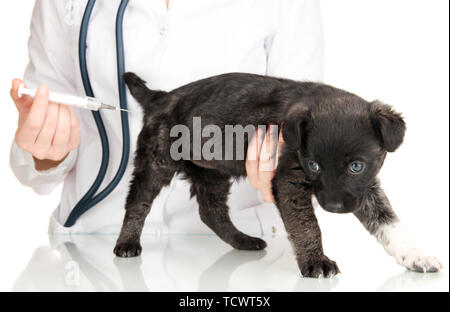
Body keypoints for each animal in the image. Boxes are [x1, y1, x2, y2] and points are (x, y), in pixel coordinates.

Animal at [114, 72, 442, 278]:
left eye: (356, 166)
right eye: (314, 165)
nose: (333, 207)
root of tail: (161, 97)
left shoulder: (365, 189)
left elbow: (390, 224)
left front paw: (415, 255)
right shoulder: (289, 182)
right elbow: (308, 226)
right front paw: (316, 262)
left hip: (213, 172)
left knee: (211, 211)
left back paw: (243, 240)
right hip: (156, 162)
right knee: (137, 203)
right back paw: (127, 243)